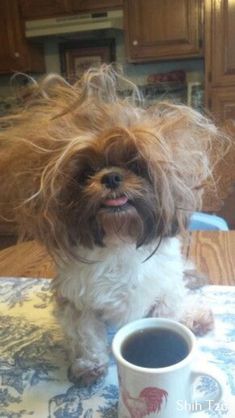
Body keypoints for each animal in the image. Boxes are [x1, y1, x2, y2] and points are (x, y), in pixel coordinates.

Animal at [0, 66, 224, 386]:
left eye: (135, 164)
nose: (112, 176)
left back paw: (194, 315)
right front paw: (88, 365)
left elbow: (168, 313)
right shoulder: (78, 303)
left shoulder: (163, 290)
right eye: (86, 172)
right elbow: (85, 336)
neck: (121, 238)